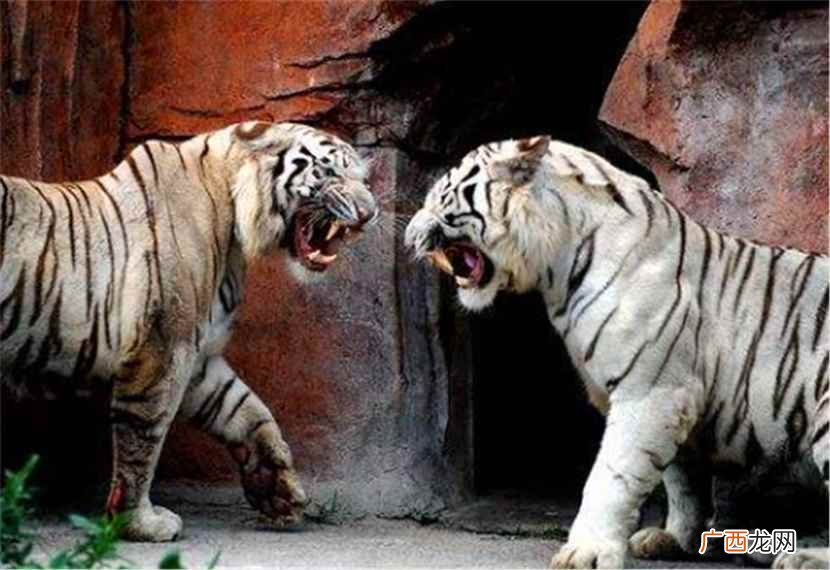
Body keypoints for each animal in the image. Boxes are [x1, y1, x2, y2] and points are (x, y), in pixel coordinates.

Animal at [0, 121, 378, 541]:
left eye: (363, 178)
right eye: (329, 172)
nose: (370, 214)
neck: (233, 216)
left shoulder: (198, 355)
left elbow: (246, 409)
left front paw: (278, 492)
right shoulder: (163, 347)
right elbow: (143, 438)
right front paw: (139, 523)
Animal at [405, 136, 829, 569]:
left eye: (440, 198)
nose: (407, 236)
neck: (558, 266)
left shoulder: (652, 392)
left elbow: (612, 476)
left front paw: (586, 551)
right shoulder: (681, 398)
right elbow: (682, 481)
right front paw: (673, 538)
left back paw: (803, 557)